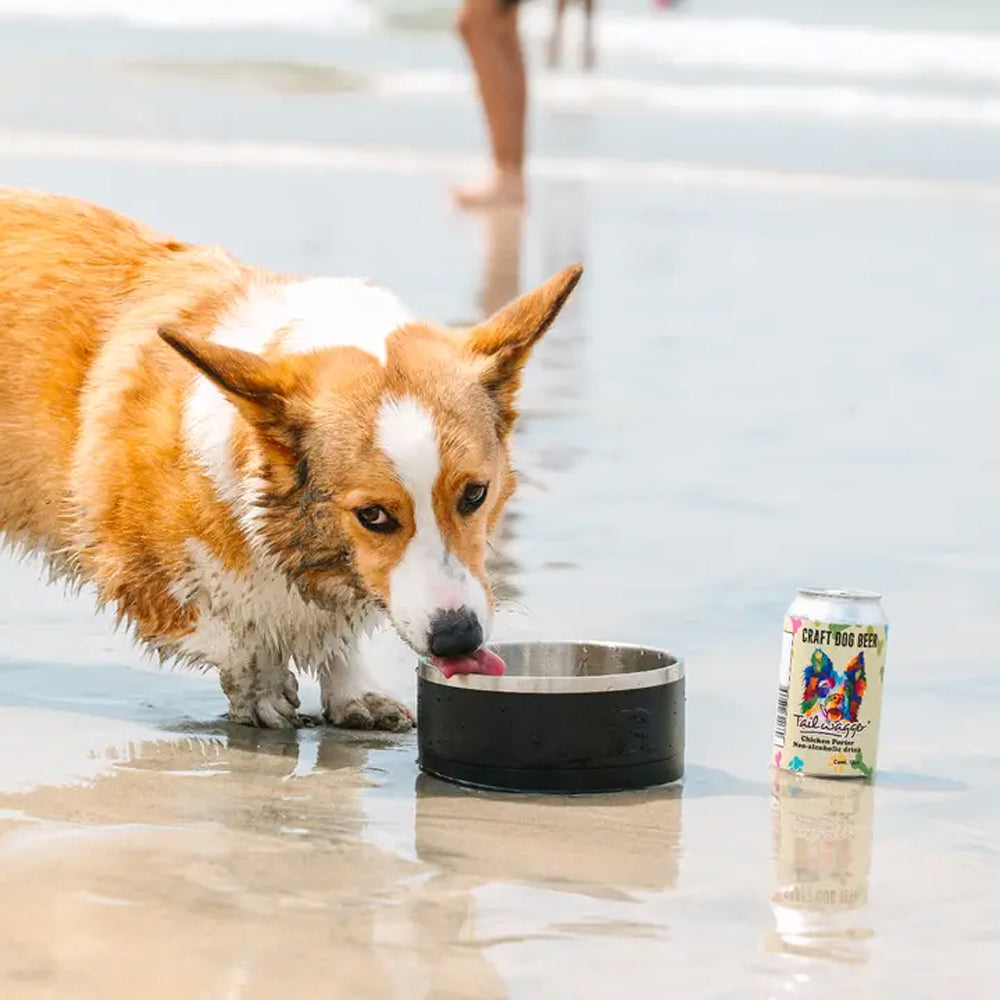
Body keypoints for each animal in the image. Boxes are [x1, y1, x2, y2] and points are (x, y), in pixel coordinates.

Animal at [0, 188, 584, 732]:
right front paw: (262, 684)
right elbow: (229, 635)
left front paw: (354, 691)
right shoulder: (128, 564)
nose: (459, 637)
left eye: (475, 495)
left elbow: (333, 637)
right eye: (374, 516)